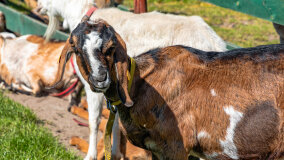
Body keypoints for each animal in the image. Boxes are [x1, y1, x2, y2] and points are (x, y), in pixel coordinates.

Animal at [37, 0, 227, 159]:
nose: (38, 7)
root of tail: (215, 43)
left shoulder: (96, 88)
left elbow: (93, 121)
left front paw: (90, 155)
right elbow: (114, 123)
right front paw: (114, 152)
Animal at [52, 19, 284, 160]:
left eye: (110, 48)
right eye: (76, 49)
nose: (100, 78)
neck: (140, 85)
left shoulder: (177, 146)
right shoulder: (156, 149)